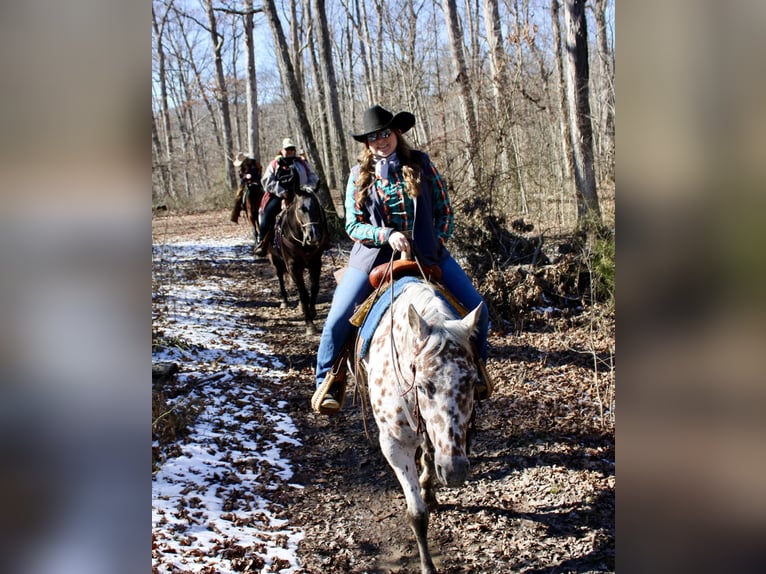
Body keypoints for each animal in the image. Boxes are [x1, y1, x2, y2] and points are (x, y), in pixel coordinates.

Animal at [246, 184, 330, 338]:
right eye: (301, 208)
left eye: (317, 207)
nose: (313, 235)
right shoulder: (293, 267)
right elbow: (303, 293)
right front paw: (309, 325)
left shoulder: (315, 263)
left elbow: (314, 288)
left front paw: (312, 310)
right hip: (275, 260)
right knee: (280, 277)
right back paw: (285, 301)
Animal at [358, 280, 480, 574]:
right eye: (423, 386)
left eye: (472, 381)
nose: (455, 472)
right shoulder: (393, 445)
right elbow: (417, 514)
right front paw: (427, 565)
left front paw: (429, 487)